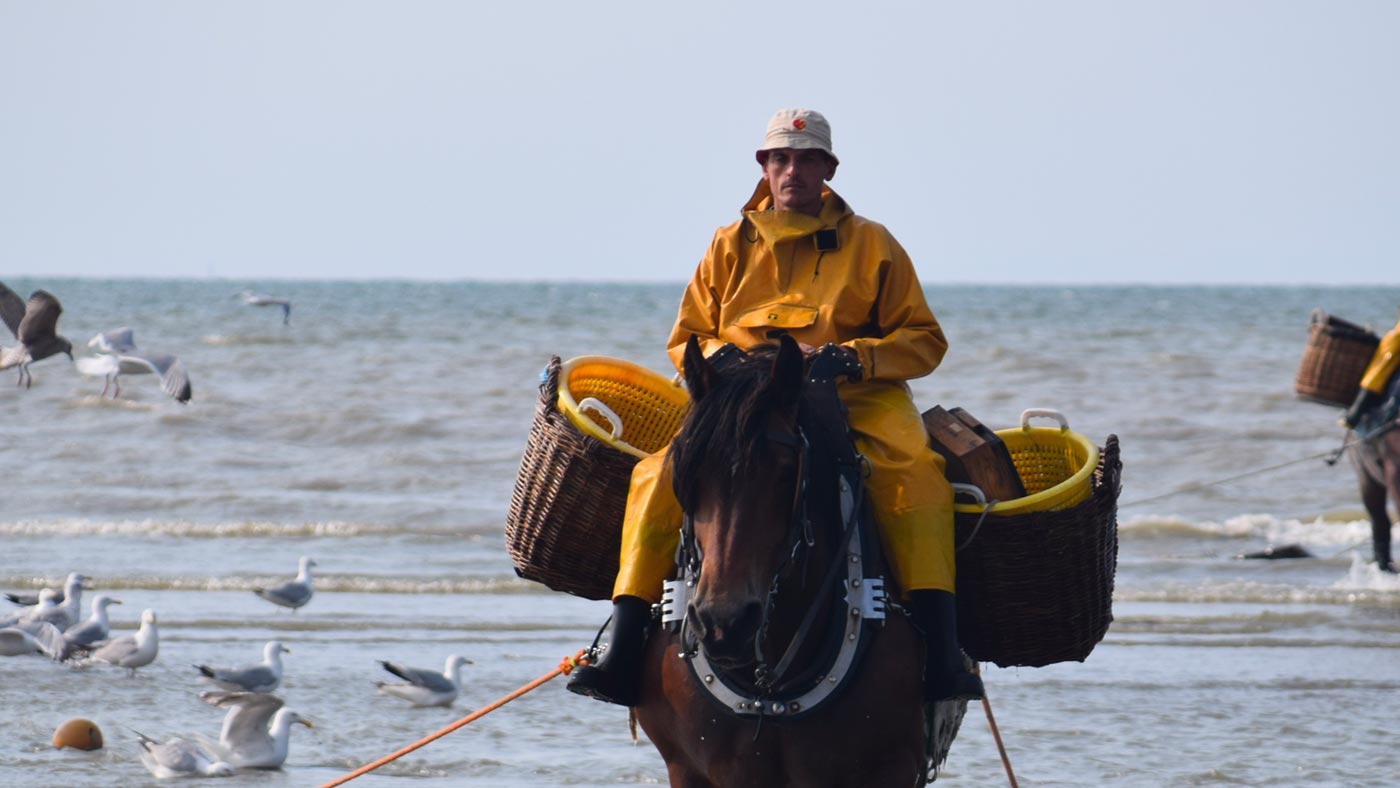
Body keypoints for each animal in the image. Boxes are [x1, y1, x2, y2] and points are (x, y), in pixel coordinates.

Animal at [632, 337, 963, 788]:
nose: (724, 623)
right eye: (687, 473)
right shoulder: (688, 769)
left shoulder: (892, 768)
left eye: (785, 472)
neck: (771, 695)